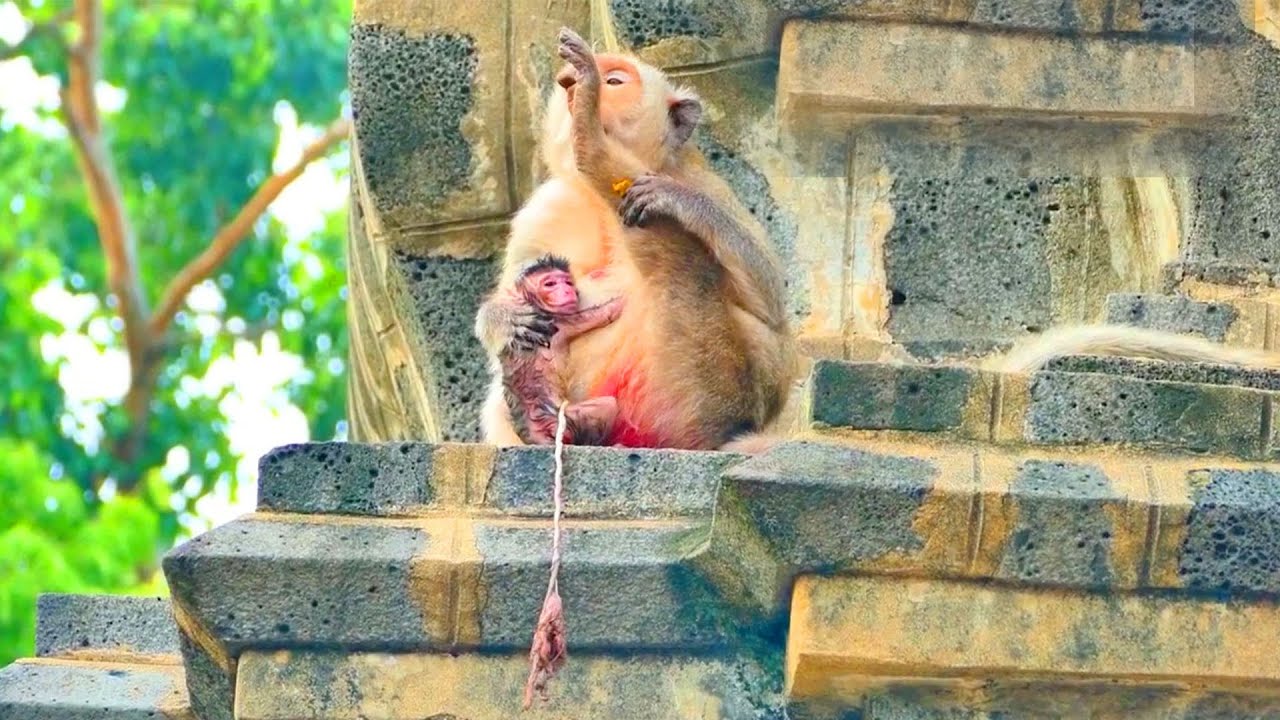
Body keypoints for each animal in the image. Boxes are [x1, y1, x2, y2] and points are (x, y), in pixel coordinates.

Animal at [498, 254, 624, 446]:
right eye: (550, 284)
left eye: (568, 282)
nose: (567, 290)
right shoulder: (560, 321)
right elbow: (605, 313)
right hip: (562, 419)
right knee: (607, 405)